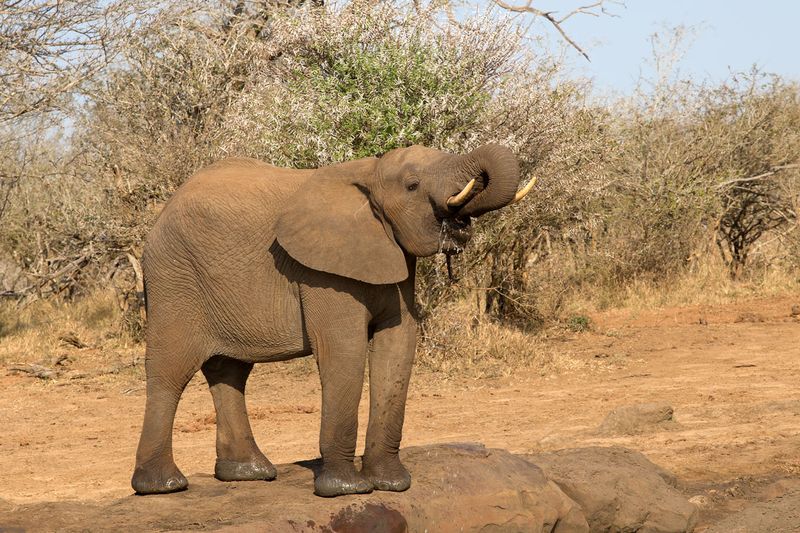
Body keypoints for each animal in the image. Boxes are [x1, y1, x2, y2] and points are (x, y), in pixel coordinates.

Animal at [130, 141, 532, 494]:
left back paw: (250, 473)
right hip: (174, 278)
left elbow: (398, 346)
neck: (369, 174)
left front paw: (392, 484)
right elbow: (345, 349)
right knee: (170, 372)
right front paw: (346, 489)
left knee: (229, 372)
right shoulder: (323, 271)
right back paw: (162, 486)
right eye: (412, 185)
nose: (460, 220)